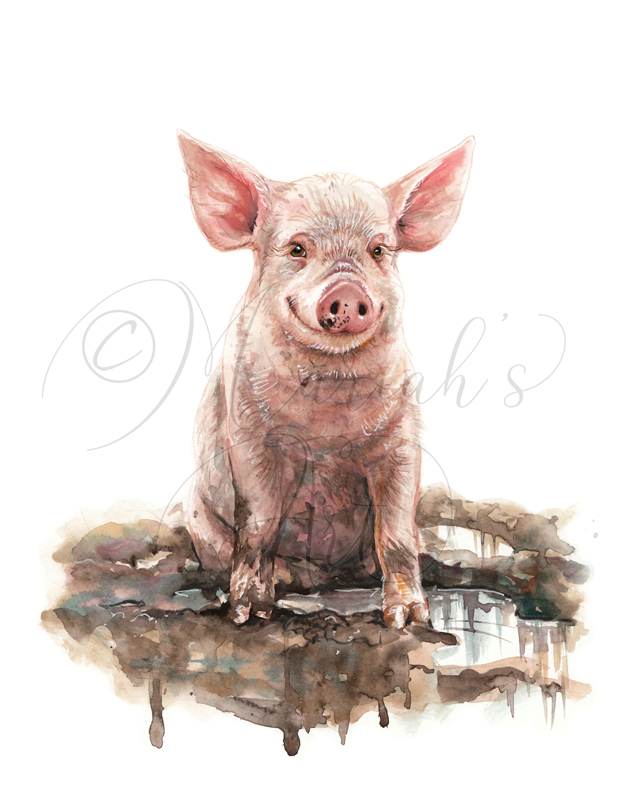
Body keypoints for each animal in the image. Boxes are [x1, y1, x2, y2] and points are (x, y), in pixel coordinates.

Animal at [179, 132, 474, 629]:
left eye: (378, 250)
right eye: (298, 249)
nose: (347, 293)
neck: (326, 422)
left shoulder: (401, 439)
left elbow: (395, 531)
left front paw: (410, 620)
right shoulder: (247, 434)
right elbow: (259, 522)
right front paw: (248, 615)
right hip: (197, 515)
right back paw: (287, 581)